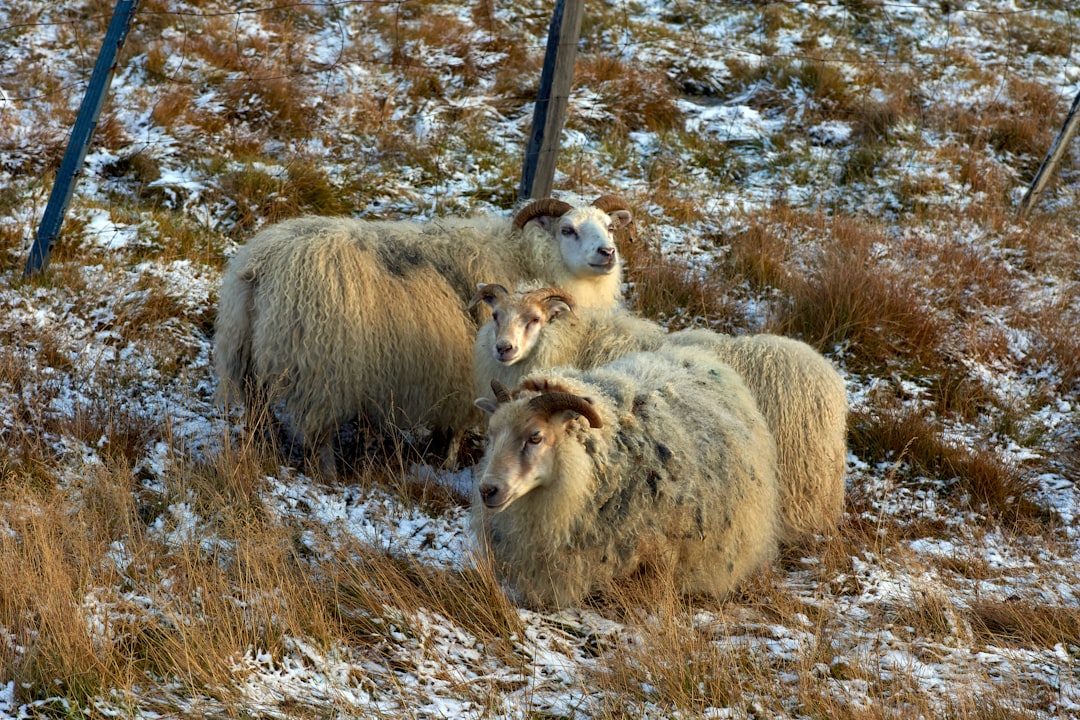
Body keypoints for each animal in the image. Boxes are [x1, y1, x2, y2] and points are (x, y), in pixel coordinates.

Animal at [210, 194, 630, 472]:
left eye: (610, 227)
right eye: (568, 229)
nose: (607, 253)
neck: (523, 258)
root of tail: (261, 265)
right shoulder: (471, 372)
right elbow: (458, 425)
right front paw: (446, 463)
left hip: (246, 353)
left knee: (257, 406)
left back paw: (263, 446)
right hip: (324, 366)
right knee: (320, 429)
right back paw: (328, 472)